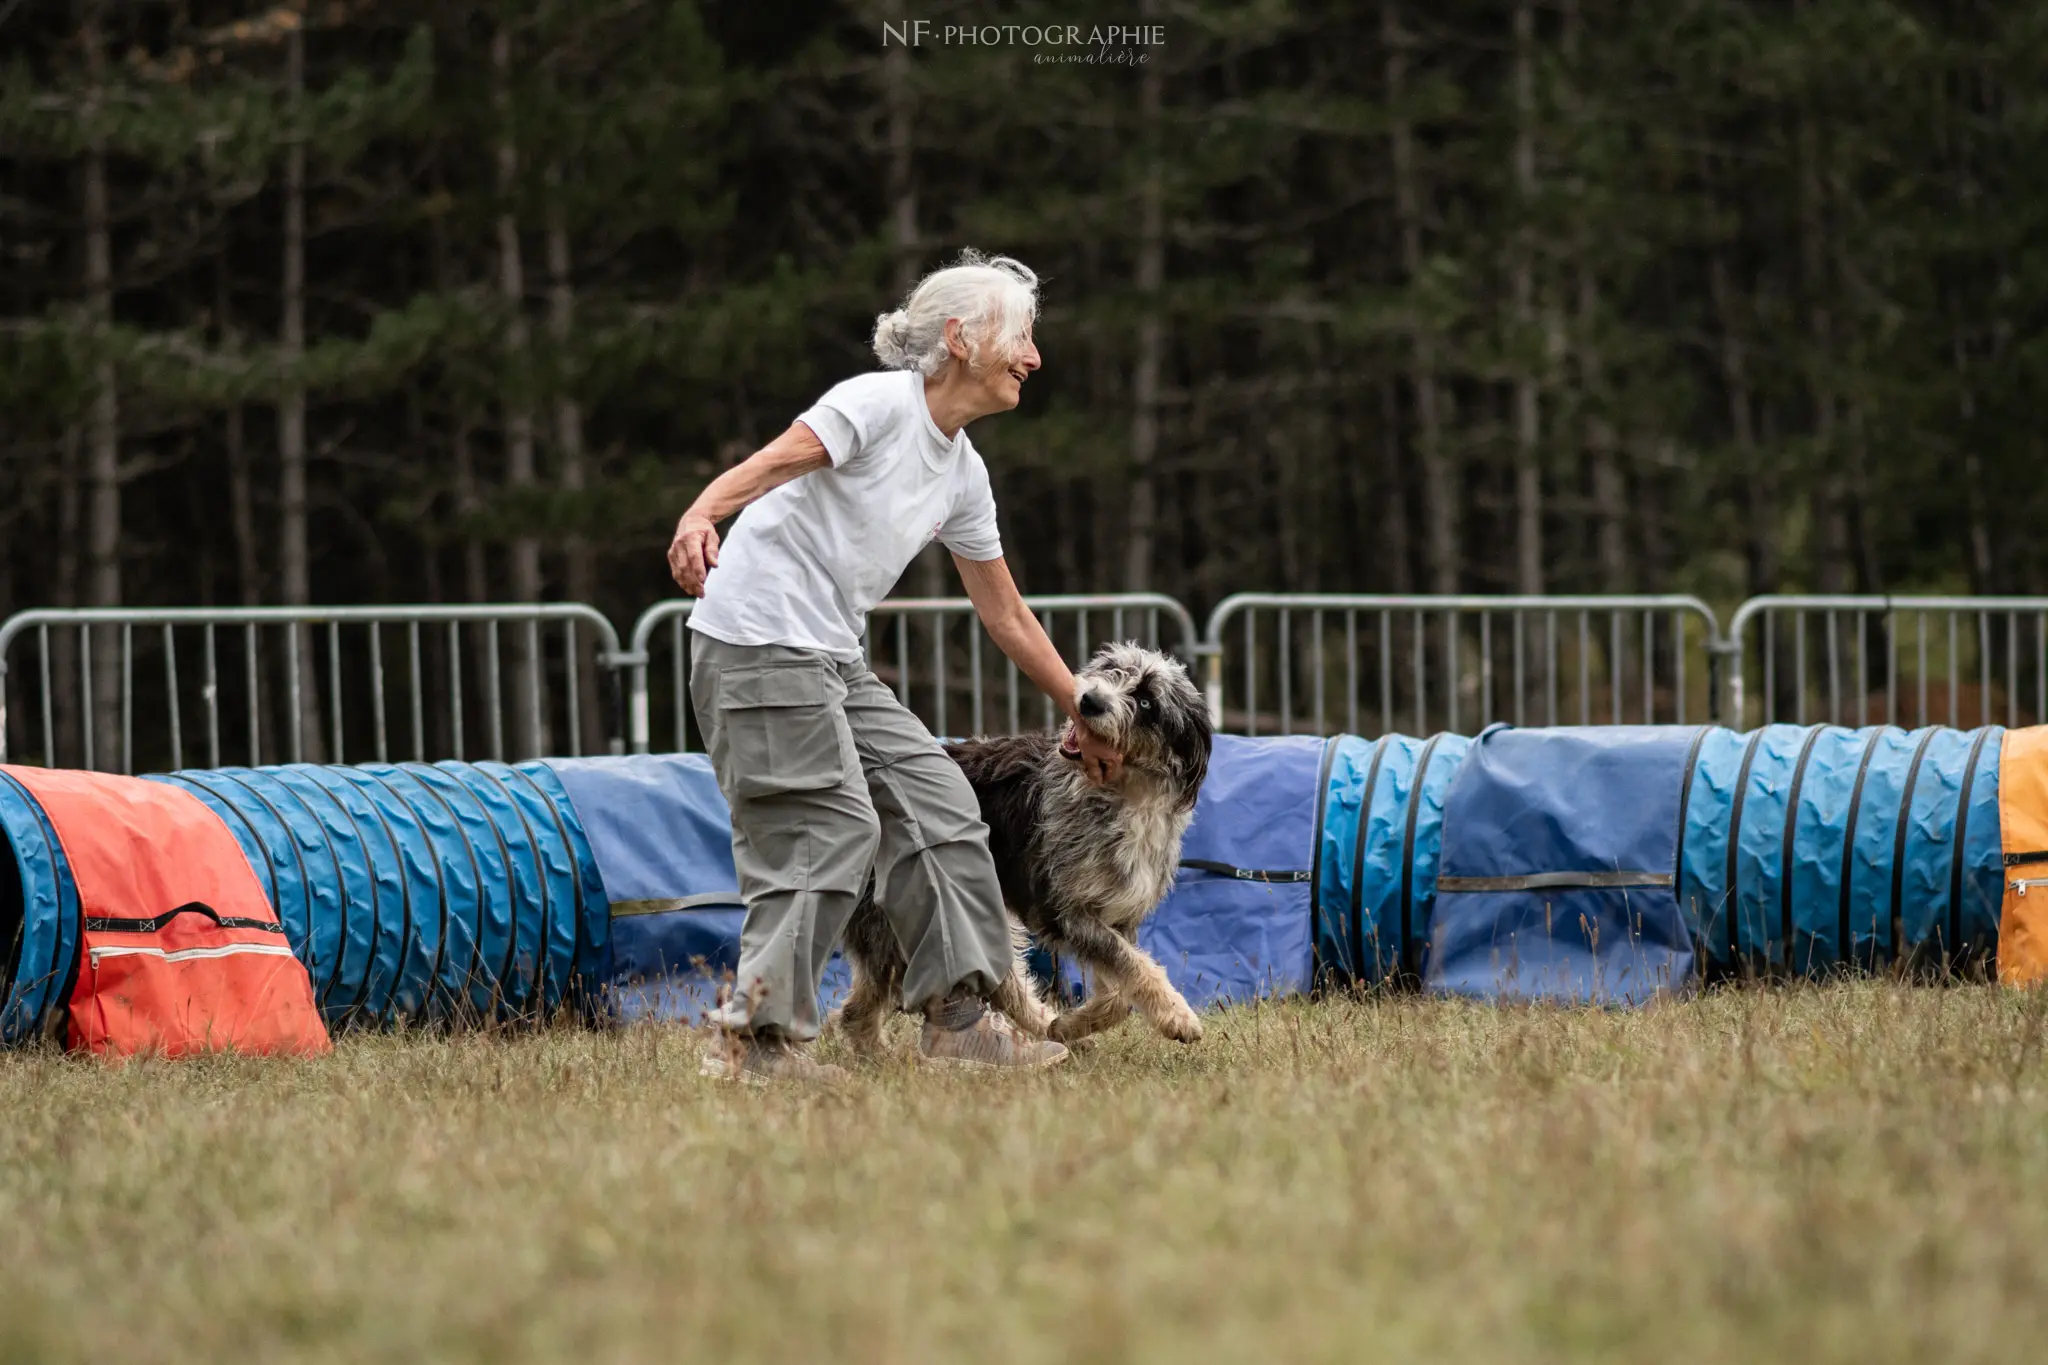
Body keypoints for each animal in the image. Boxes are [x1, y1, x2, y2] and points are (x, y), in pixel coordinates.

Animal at [835, 642, 1204, 1055]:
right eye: (1111, 669)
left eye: (1145, 702)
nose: (1090, 701)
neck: (1123, 794)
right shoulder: (1063, 910)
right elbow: (1133, 965)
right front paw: (1177, 1015)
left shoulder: (1116, 914)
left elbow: (1120, 990)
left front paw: (1074, 1023)